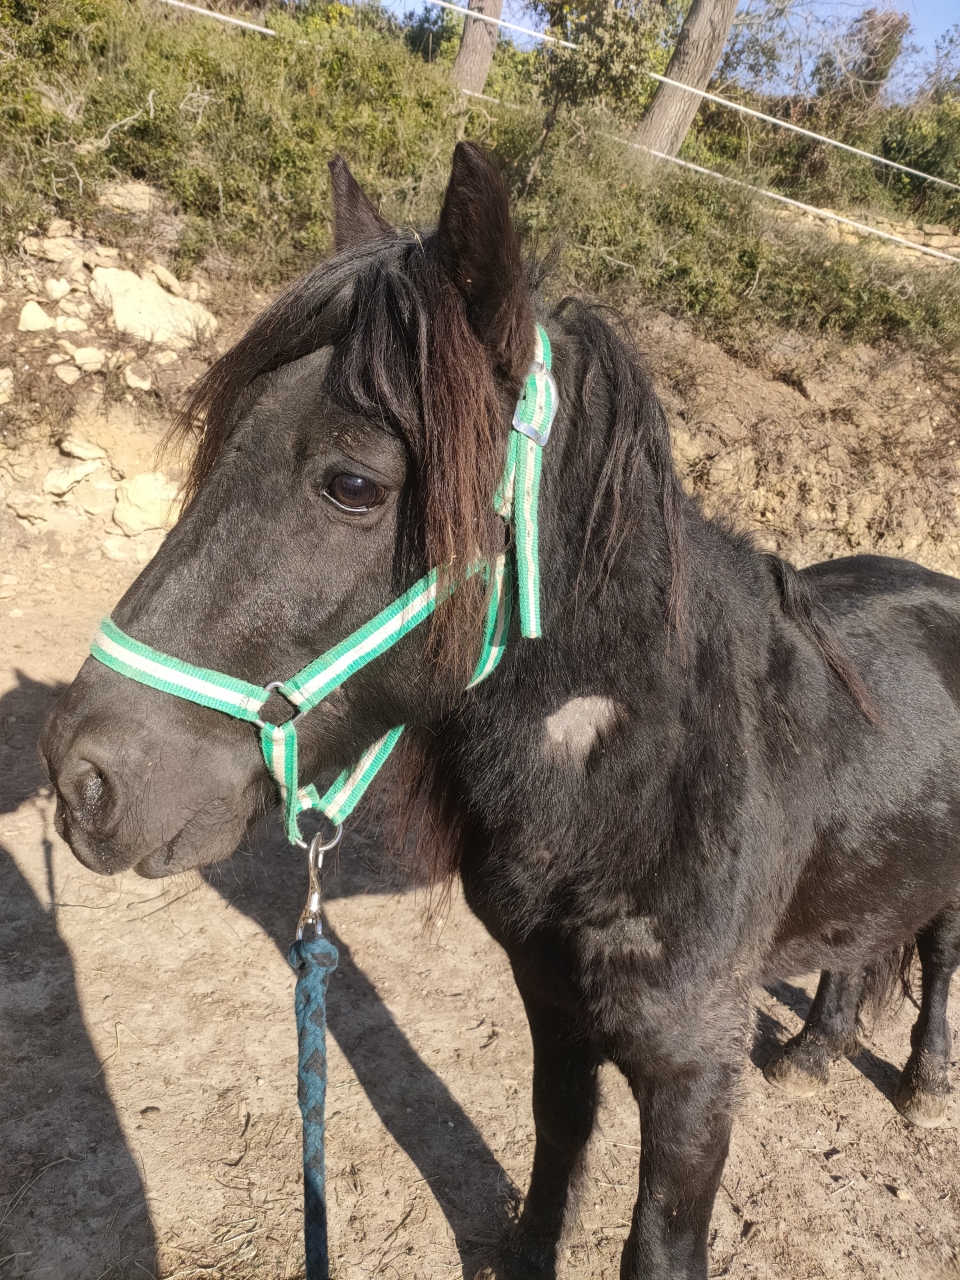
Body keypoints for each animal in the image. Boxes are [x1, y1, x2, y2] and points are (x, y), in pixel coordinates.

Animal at [41, 142, 960, 1280]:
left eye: (353, 484)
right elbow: (554, 1143)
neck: (649, 781)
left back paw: (923, 1083)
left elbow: (660, 1242)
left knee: (938, 948)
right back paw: (815, 1049)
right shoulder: (550, 1003)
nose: (81, 776)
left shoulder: (694, 1068)